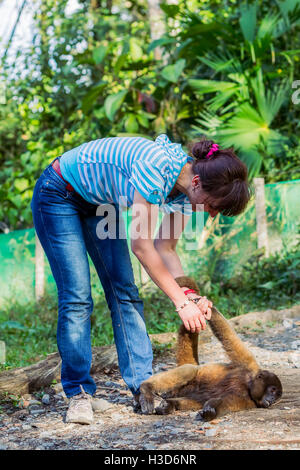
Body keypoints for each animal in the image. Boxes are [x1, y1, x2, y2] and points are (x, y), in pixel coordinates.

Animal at [139, 274, 282, 420]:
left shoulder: (249, 400)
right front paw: (204, 305)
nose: (271, 401)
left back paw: (169, 404)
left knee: (197, 398)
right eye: (272, 391)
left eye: (276, 397)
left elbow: (226, 403)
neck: (248, 383)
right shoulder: (247, 362)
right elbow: (226, 333)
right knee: (190, 370)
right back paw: (146, 388)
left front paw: (211, 412)